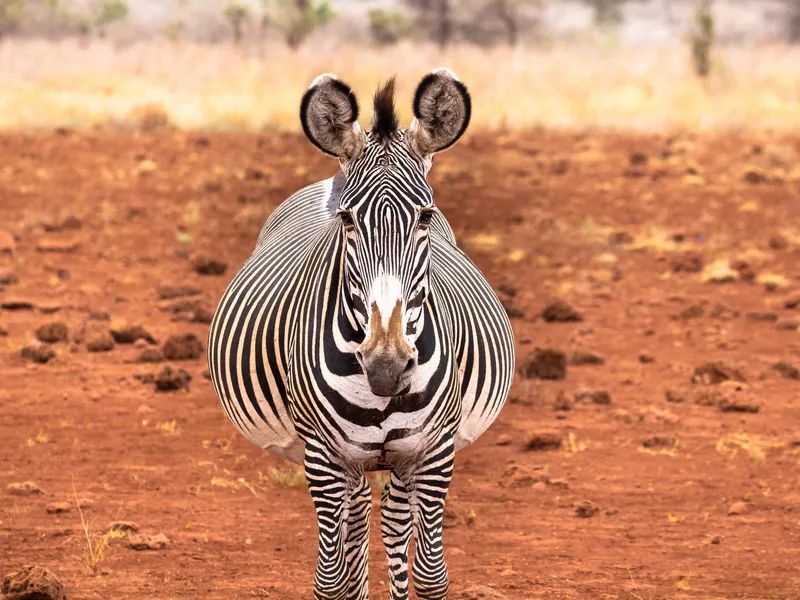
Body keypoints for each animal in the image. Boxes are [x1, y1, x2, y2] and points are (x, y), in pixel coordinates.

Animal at [206, 68, 516, 596]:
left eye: (425, 216)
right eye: (348, 219)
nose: (386, 367)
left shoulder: (434, 453)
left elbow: (431, 574)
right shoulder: (324, 456)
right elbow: (331, 580)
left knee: (389, 521)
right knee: (356, 525)